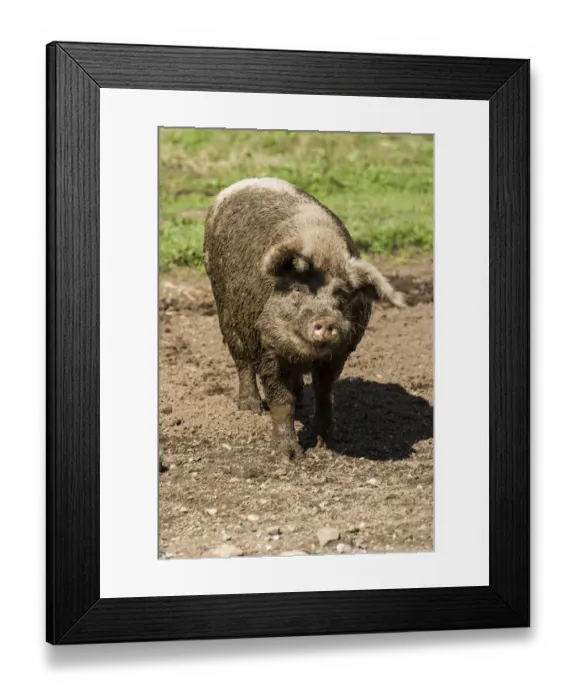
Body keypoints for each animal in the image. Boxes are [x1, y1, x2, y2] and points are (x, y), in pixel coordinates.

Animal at [203, 177, 405, 459]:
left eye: (342, 294)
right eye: (298, 289)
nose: (326, 320)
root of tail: (241, 183)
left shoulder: (339, 353)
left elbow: (325, 394)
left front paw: (328, 446)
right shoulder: (267, 349)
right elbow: (280, 400)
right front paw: (288, 455)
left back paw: (299, 399)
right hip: (225, 308)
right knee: (241, 360)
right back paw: (251, 407)